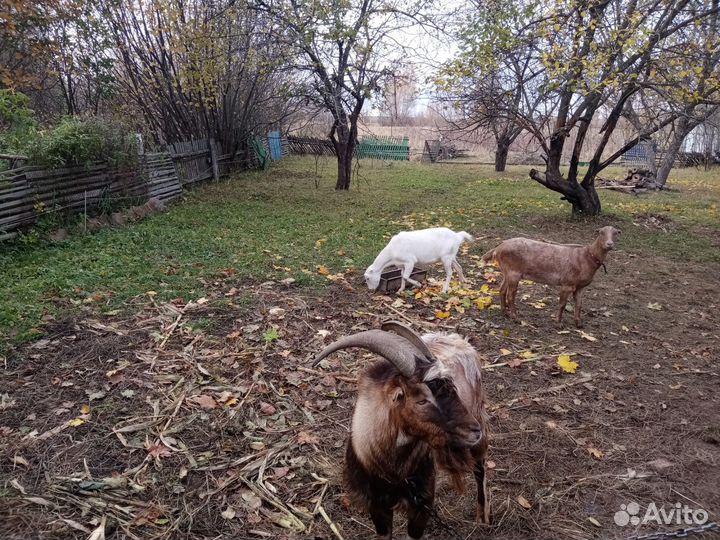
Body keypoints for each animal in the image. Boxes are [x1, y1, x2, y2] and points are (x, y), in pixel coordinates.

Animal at [313, 321, 489, 539]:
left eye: (452, 388)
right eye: (421, 400)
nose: (473, 430)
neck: (394, 472)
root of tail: (455, 338)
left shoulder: (421, 503)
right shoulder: (378, 506)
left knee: (480, 468)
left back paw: (483, 517)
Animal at [481, 226, 621, 327]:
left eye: (615, 233)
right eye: (601, 233)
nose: (609, 244)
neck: (588, 257)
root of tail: (497, 248)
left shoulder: (580, 287)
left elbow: (579, 304)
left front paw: (578, 324)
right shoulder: (567, 283)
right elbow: (562, 304)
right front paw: (559, 324)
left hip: (507, 272)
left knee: (501, 290)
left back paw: (504, 313)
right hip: (513, 272)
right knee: (511, 295)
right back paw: (515, 318)